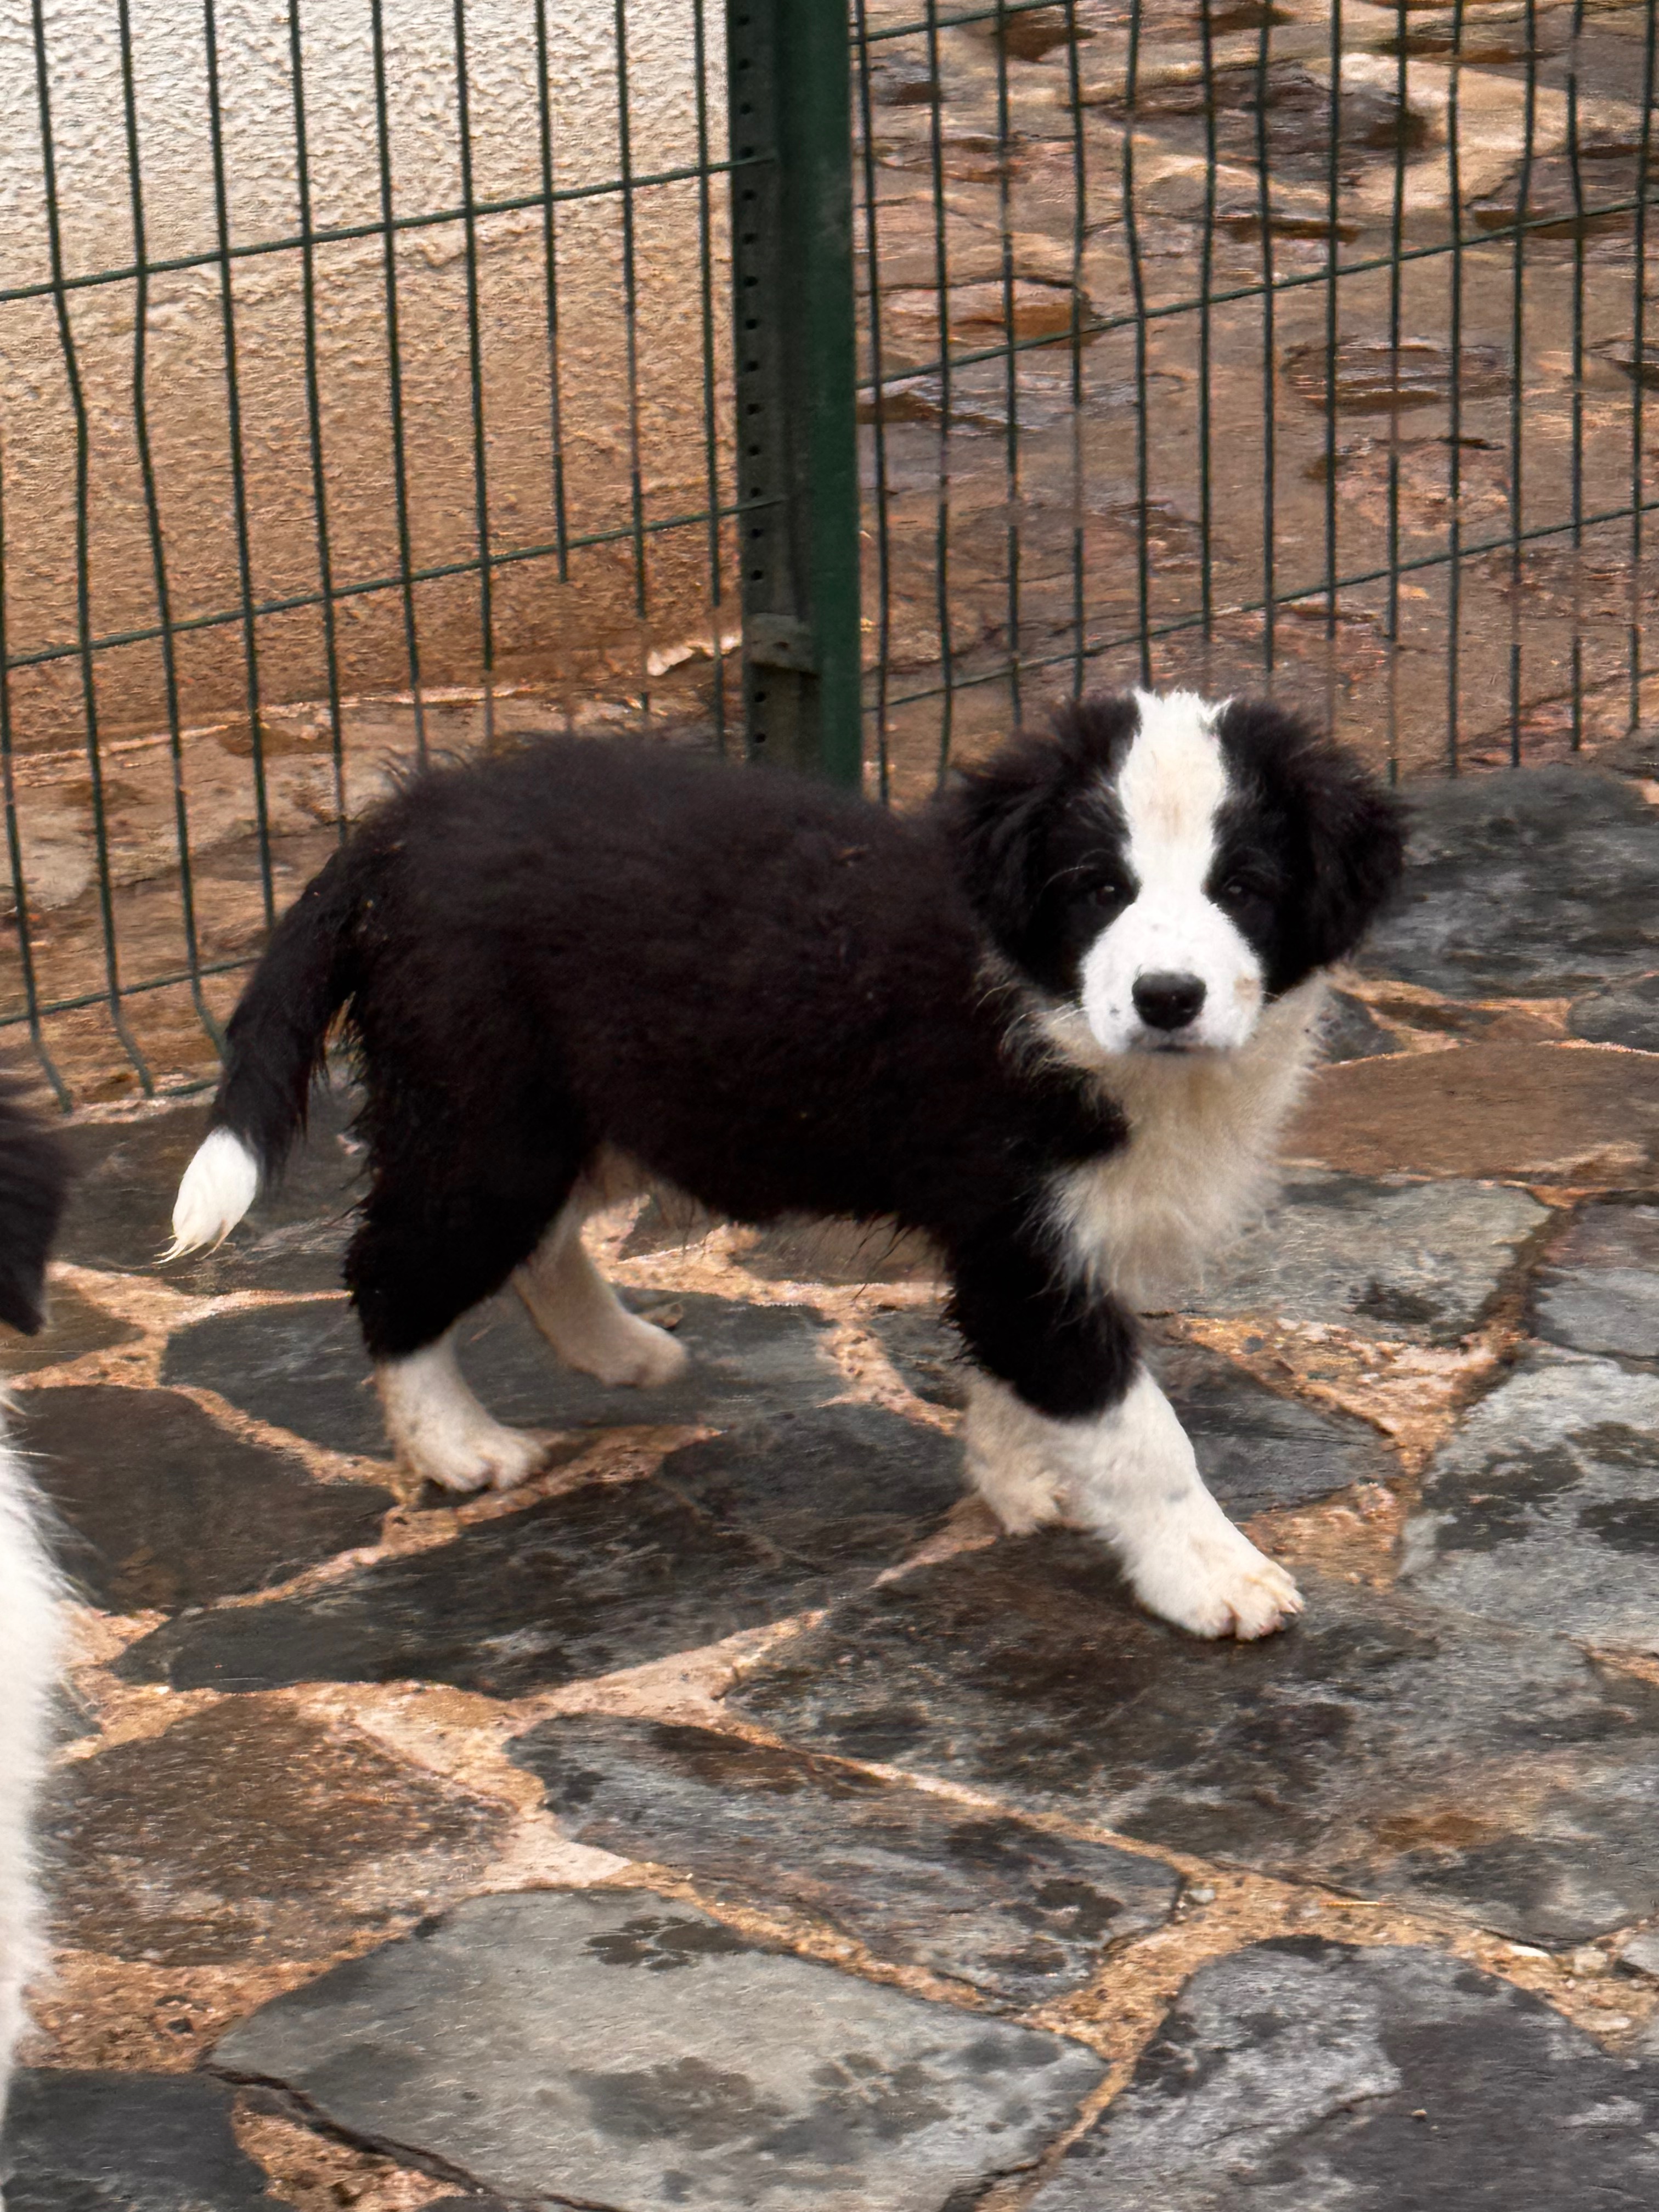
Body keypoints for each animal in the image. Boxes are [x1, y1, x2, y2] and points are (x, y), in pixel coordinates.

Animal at [172, 690, 1407, 1645]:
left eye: (1244, 889)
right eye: (1098, 888)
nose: (1166, 998)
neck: (1054, 1009)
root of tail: (396, 826)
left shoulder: (1048, 1244)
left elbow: (1031, 1382)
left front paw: (1029, 1480)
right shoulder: (1017, 1233)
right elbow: (1138, 1427)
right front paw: (1212, 1574)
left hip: (601, 1106)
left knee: (536, 1240)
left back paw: (620, 1349)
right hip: (485, 1115)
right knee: (394, 1264)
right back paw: (457, 1443)